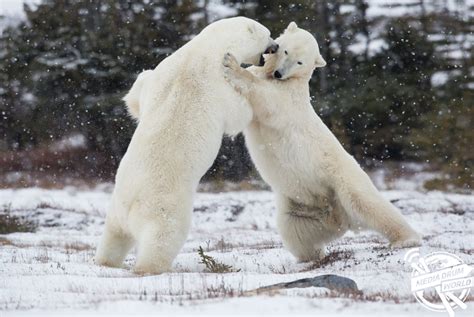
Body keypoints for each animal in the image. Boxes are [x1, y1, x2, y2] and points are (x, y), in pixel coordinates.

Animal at [94, 17, 276, 272]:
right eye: (268, 34)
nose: (276, 46)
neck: (205, 48)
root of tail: (130, 211)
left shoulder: (165, 70)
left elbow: (138, 94)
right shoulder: (218, 87)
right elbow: (237, 114)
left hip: (115, 207)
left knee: (113, 236)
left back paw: (105, 261)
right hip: (165, 208)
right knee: (163, 238)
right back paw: (149, 267)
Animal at [222, 21, 422, 260]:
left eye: (300, 62)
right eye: (285, 51)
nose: (279, 73)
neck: (288, 79)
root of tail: (339, 216)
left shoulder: (288, 97)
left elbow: (267, 98)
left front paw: (231, 64)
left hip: (342, 178)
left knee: (369, 204)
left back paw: (406, 239)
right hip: (299, 204)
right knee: (295, 228)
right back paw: (310, 255)